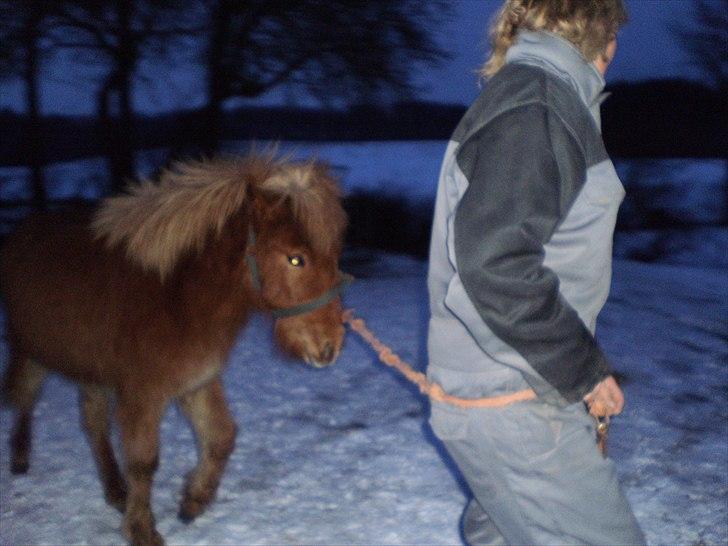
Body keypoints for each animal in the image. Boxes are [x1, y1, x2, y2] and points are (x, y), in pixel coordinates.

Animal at [0, 153, 346, 544]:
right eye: (295, 259)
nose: (331, 346)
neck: (177, 296)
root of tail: (21, 231)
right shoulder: (143, 396)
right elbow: (143, 461)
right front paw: (141, 530)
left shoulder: (197, 382)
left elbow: (221, 437)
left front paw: (192, 502)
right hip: (31, 350)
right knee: (25, 395)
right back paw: (21, 458)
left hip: (93, 371)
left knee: (93, 423)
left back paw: (115, 491)